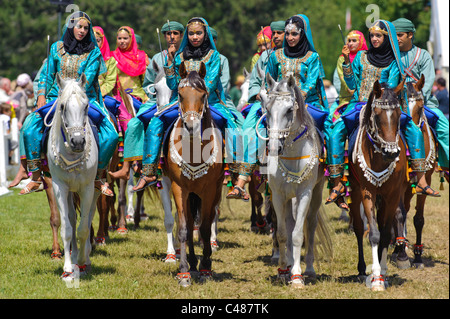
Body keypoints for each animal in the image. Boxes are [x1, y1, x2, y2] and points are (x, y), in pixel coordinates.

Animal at [46, 73, 100, 282]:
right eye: (62, 106)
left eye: (86, 106)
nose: (78, 141)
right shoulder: (59, 187)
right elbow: (68, 228)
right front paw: (69, 268)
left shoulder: (87, 188)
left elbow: (84, 228)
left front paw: (84, 262)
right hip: (70, 191)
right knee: (71, 217)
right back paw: (75, 257)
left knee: (88, 216)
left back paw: (85, 258)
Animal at [163, 61, 223, 288]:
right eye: (180, 95)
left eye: (203, 94)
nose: (191, 126)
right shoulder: (179, 188)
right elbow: (183, 228)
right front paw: (184, 272)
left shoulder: (208, 190)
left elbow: (205, 228)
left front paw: (206, 267)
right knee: (189, 224)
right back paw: (191, 261)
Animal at [260, 75, 330, 290]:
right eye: (267, 109)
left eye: (290, 110)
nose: (275, 147)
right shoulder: (278, 195)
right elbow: (283, 233)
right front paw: (284, 270)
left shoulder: (305, 193)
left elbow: (299, 234)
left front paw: (297, 277)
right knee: (289, 224)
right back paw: (290, 264)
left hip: (315, 194)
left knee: (310, 224)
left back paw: (309, 269)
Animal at [346, 78, 410, 292]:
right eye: (376, 114)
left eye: (398, 114)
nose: (392, 153)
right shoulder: (368, 192)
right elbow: (374, 234)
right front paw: (375, 279)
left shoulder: (393, 194)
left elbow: (385, 233)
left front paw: (382, 274)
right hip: (356, 192)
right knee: (359, 228)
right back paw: (361, 270)